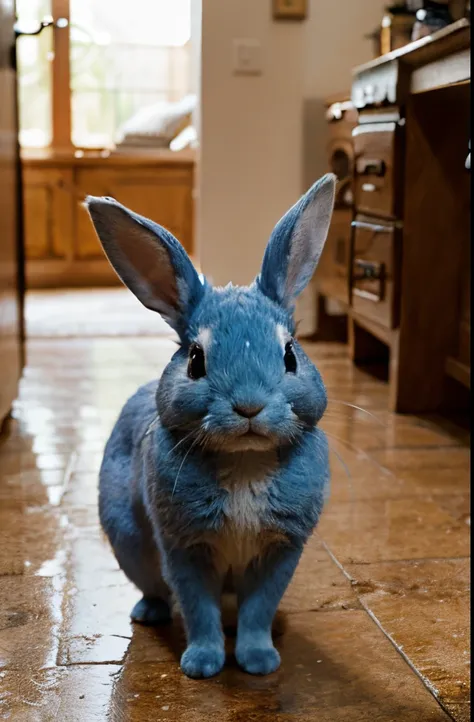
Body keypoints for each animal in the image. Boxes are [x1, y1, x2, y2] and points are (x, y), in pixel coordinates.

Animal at [86, 172, 336, 676]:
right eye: (196, 360)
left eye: (290, 354)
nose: (249, 407)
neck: (245, 462)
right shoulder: (184, 549)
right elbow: (199, 609)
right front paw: (201, 665)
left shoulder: (280, 552)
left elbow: (259, 609)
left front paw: (259, 660)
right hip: (129, 544)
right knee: (155, 589)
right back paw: (147, 614)